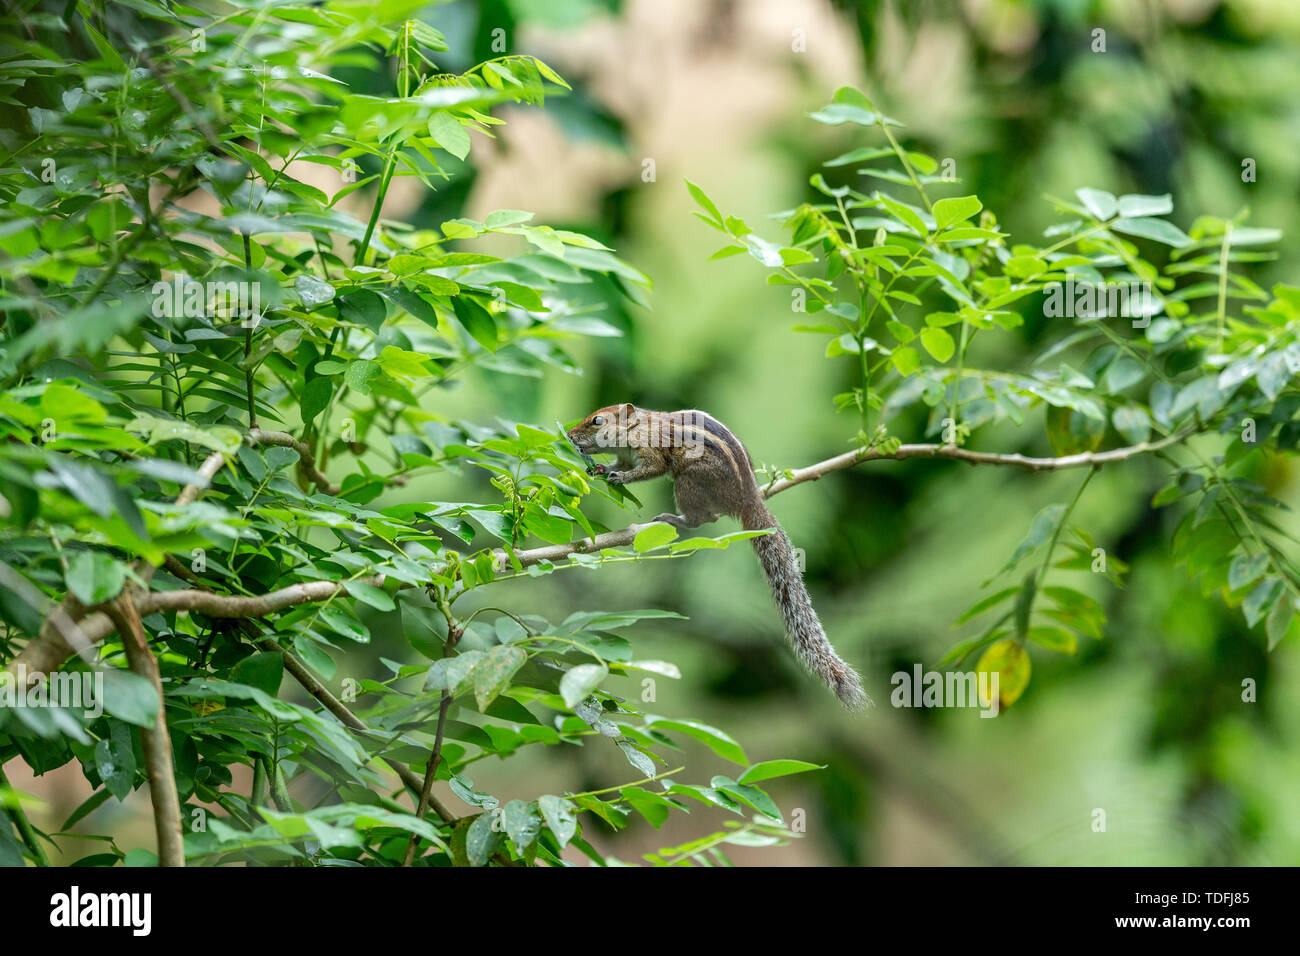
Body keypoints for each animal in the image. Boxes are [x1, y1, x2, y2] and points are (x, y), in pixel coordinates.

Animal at [568, 404, 870, 710]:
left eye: (597, 421)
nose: (569, 434)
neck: (639, 428)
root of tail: (749, 498)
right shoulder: (627, 456)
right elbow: (621, 464)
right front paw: (602, 468)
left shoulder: (652, 451)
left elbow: (651, 469)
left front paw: (619, 477)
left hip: (688, 481)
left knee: (704, 518)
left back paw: (675, 519)